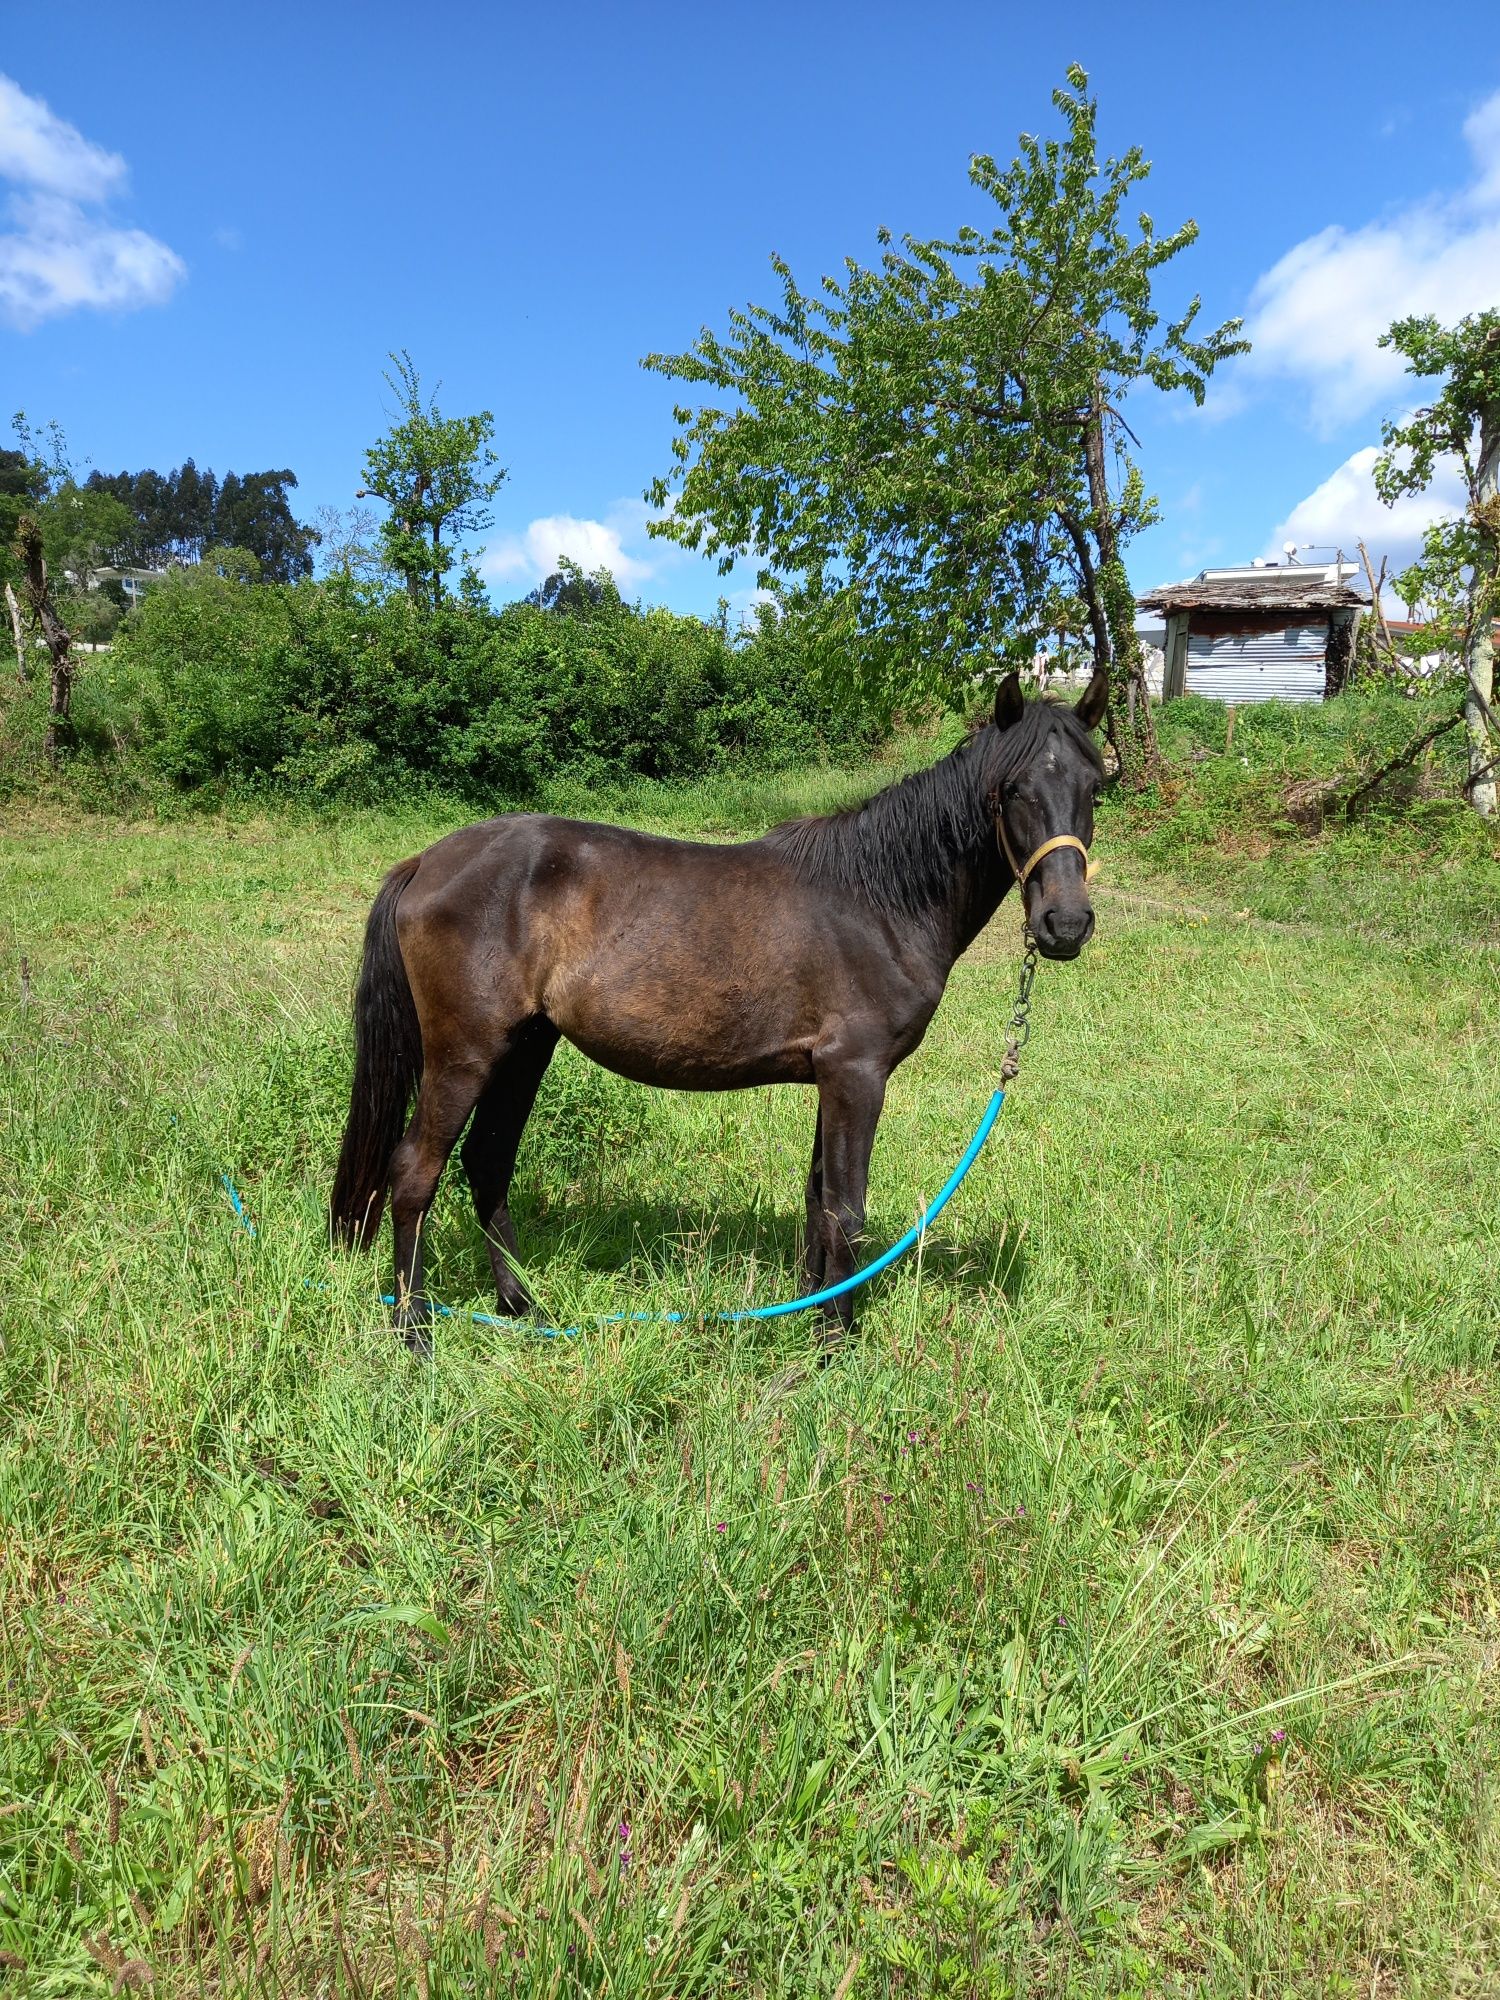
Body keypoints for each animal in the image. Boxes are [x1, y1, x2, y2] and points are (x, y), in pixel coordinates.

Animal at [332, 672, 1104, 1344]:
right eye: (1012, 789)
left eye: (1096, 786)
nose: (1065, 924)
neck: (878, 899)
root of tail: (426, 863)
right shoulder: (857, 1074)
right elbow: (845, 1210)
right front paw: (837, 1346)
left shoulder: (832, 1076)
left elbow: (817, 1202)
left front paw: (812, 1315)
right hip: (466, 1052)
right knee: (416, 1172)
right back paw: (415, 1331)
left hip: (525, 1047)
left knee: (488, 1162)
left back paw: (523, 1307)